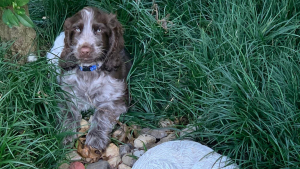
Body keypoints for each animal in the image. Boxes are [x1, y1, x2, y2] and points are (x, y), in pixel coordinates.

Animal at [47, 6, 131, 151]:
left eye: (99, 30)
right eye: (76, 29)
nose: (85, 50)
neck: (88, 71)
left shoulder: (115, 98)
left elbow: (102, 114)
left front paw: (96, 139)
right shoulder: (65, 94)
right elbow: (68, 113)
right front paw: (66, 134)